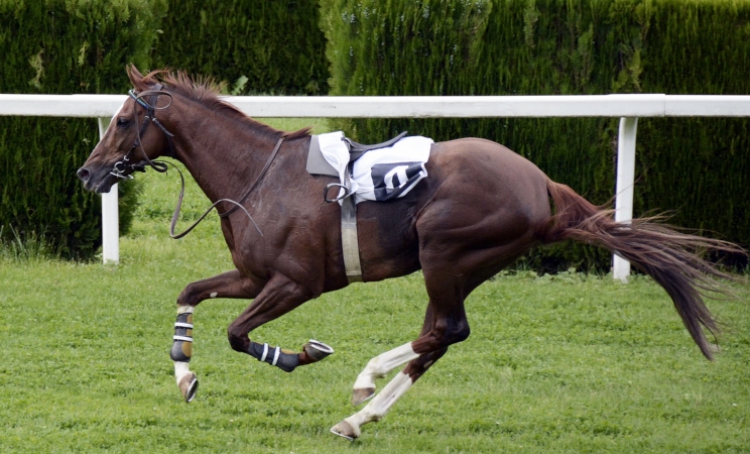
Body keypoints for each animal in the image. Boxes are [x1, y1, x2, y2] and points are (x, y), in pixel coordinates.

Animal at [79, 67, 744, 440]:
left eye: (121, 121)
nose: (88, 173)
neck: (257, 176)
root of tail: (543, 186)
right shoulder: (252, 274)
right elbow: (190, 294)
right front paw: (184, 374)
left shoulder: (296, 282)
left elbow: (240, 334)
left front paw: (300, 354)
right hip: (460, 265)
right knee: (440, 337)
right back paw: (360, 414)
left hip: (446, 252)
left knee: (444, 331)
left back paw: (363, 384)